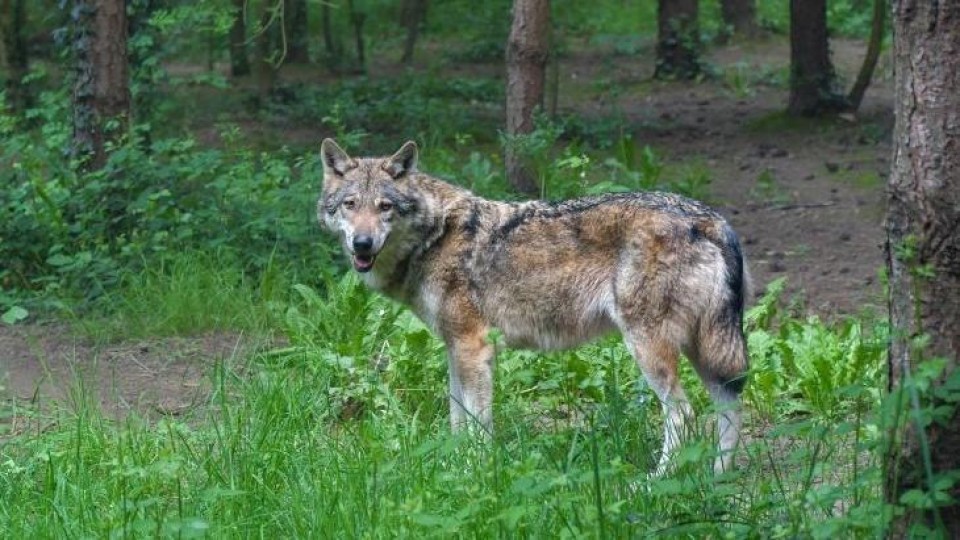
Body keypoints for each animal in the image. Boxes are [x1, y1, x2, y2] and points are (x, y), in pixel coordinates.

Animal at [317, 139, 750, 473]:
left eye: (384, 207)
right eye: (350, 204)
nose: (362, 244)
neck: (435, 236)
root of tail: (710, 219)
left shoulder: (474, 347)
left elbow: (477, 424)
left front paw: (476, 472)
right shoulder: (454, 349)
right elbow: (457, 420)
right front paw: (452, 469)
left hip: (650, 348)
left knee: (684, 415)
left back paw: (654, 482)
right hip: (704, 350)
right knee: (729, 408)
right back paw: (717, 477)